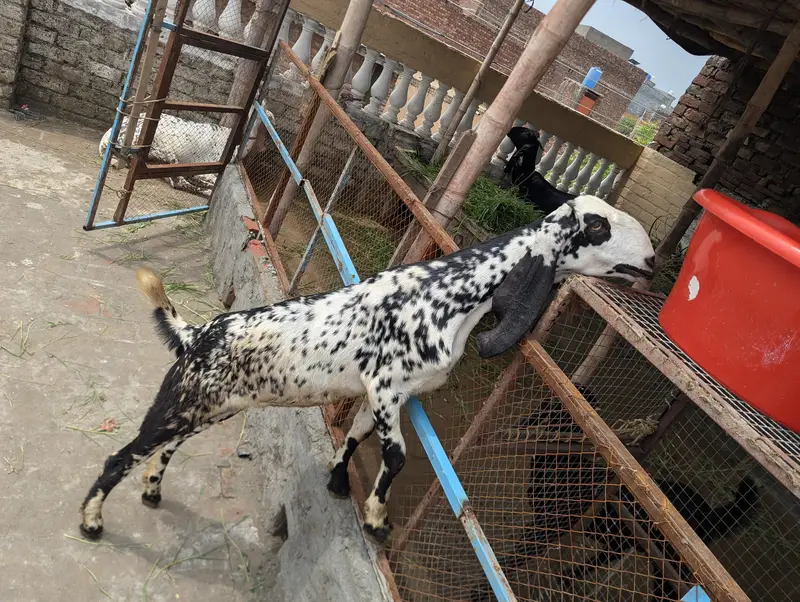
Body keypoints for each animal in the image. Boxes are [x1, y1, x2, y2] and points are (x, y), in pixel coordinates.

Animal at [78, 196, 656, 543]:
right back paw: (92, 522)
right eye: (597, 226)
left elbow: (355, 435)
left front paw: (338, 482)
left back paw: (152, 491)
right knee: (120, 455)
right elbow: (395, 455)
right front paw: (377, 518)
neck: (450, 292)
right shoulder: (385, 386)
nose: (651, 261)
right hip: (182, 401)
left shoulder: (390, 393)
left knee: (162, 448)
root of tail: (196, 334)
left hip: (208, 406)